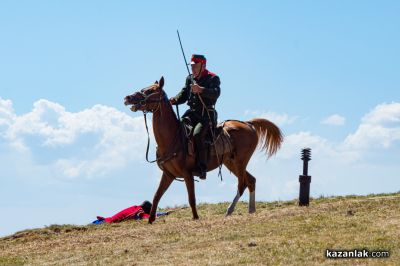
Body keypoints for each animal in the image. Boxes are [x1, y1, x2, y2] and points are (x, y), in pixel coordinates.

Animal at [123, 76, 282, 222]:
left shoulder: (187, 174)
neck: (173, 137)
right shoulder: (168, 175)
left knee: (242, 184)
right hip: (230, 162)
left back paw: (230, 210)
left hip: (240, 162)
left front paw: (195, 218)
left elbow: (191, 198)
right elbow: (156, 196)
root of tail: (248, 124)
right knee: (251, 181)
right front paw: (150, 220)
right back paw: (250, 210)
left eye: (150, 91)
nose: (127, 98)